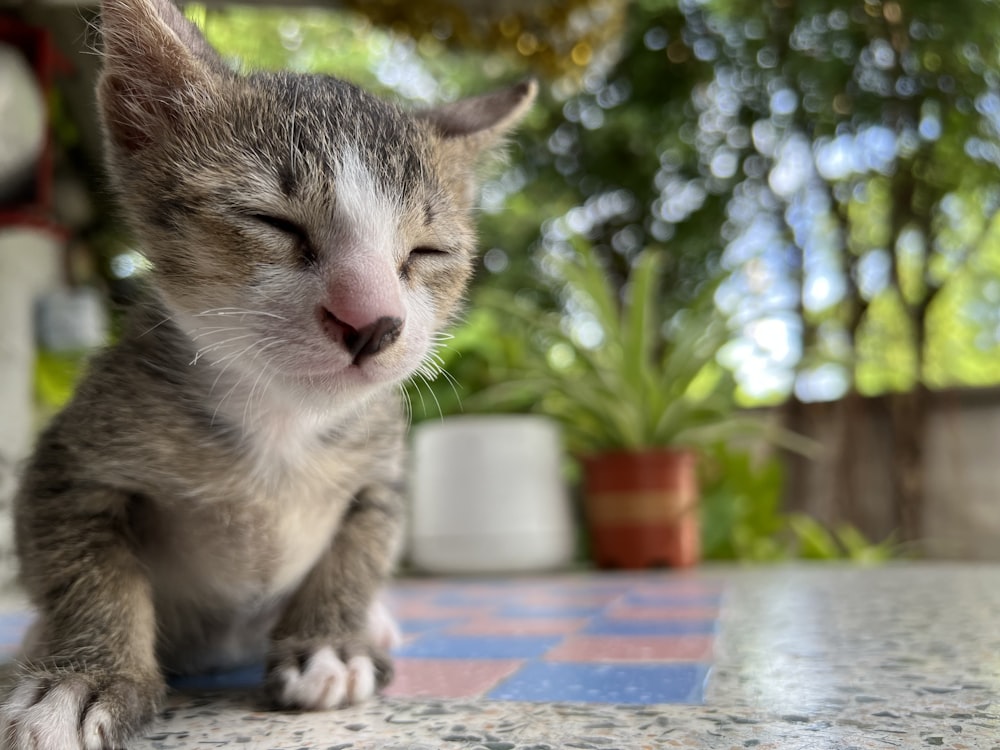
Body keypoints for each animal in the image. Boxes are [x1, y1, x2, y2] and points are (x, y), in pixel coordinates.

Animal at [0, 1, 536, 750]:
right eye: (272, 222)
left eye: (427, 252)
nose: (372, 320)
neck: (282, 422)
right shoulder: (71, 467)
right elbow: (88, 575)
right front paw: (82, 678)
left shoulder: (379, 472)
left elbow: (360, 550)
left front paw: (330, 644)